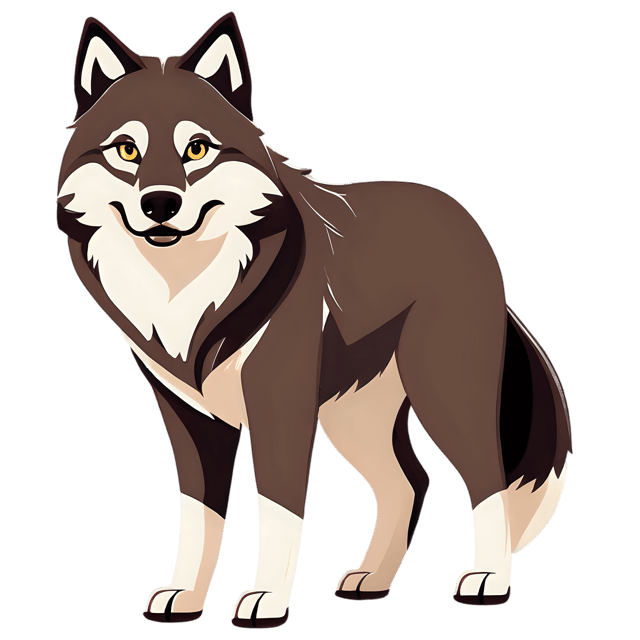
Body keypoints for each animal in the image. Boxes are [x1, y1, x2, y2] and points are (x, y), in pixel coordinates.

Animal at [56, 13, 572, 628]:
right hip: (354, 419)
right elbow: (198, 516)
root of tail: (463, 217)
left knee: (486, 476)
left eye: (197, 149)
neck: (188, 286)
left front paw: (267, 599)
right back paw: (372, 580)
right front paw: (185, 595)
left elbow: (278, 511)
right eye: (127, 150)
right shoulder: (189, 415)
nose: (160, 204)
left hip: (443, 393)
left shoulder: (278, 404)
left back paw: (489, 580)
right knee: (409, 483)